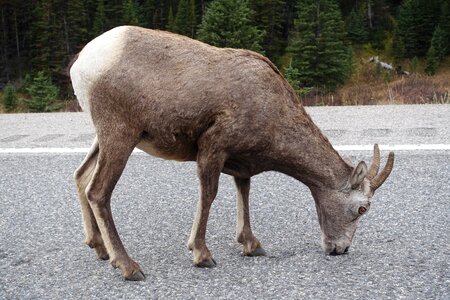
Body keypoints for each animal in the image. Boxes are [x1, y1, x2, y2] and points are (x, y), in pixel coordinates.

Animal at [69, 26, 394, 282]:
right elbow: (209, 195)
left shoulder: (240, 164)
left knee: (81, 176)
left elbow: (244, 192)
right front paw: (202, 255)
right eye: (362, 208)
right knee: (98, 191)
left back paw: (99, 249)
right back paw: (129, 267)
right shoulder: (213, 148)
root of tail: (82, 63)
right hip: (120, 134)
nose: (340, 249)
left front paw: (251, 245)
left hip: (104, 137)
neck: (273, 112)